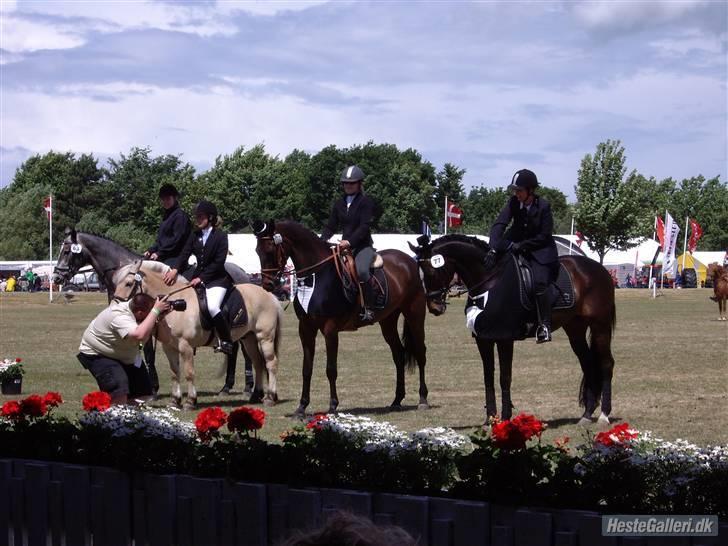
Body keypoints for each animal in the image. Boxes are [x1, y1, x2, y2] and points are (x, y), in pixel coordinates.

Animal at [52, 227, 255, 394]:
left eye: (67, 251)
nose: (56, 277)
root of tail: (242, 272)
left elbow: (149, 353)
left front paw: (154, 387)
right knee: (234, 349)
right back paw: (228, 386)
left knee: (244, 352)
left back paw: (247, 386)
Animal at [114, 260, 284, 408]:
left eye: (128, 283)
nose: (116, 306)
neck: (174, 301)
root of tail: (269, 295)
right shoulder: (169, 347)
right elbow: (174, 373)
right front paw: (175, 401)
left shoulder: (186, 346)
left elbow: (189, 373)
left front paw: (190, 401)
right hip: (249, 338)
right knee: (258, 363)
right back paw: (256, 396)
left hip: (264, 337)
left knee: (271, 363)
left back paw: (270, 397)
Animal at [253, 219, 430, 414]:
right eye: (257, 251)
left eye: (270, 250)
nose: (268, 284)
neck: (316, 276)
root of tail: (408, 260)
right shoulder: (306, 329)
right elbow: (306, 369)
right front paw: (302, 406)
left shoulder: (330, 330)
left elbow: (331, 369)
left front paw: (333, 405)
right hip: (388, 321)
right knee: (398, 354)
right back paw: (397, 400)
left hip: (415, 314)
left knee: (420, 352)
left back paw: (423, 399)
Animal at [410, 234, 616, 424]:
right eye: (420, 272)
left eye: (431, 270)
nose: (434, 307)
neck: (489, 282)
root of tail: (599, 269)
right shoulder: (483, 339)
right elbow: (488, 377)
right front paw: (490, 419)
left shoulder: (505, 338)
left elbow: (504, 377)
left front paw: (505, 417)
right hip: (575, 328)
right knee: (587, 363)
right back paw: (587, 414)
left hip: (600, 326)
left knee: (606, 363)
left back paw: (604, 415)